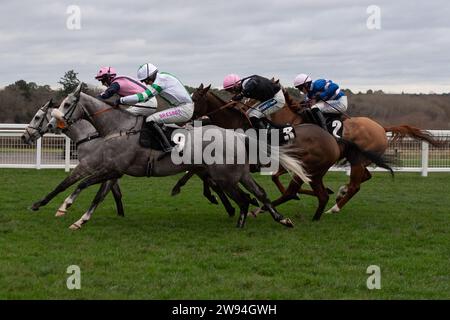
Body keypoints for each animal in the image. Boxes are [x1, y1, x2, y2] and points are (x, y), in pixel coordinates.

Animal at [31, 84, 310, 229]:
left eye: (67, 104)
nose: (55, 122)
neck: (117, 127)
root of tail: (237, 136)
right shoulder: (112, 169)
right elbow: (95, 192)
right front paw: (78, 217)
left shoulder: (111, 168)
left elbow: (82, 185)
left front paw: (65, 208)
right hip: (237, 174)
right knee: (258, 193)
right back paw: (280, 218)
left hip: (226, 176)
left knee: (243, 198)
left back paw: (242, 217)